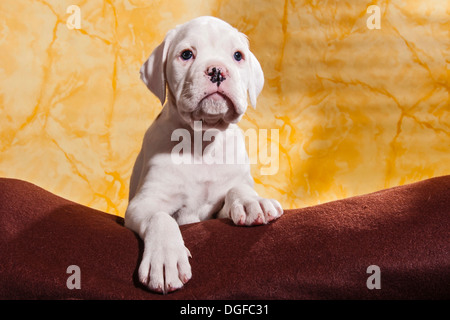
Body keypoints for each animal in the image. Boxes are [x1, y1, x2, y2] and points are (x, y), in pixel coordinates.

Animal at [125, 16, 284, 294]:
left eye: (238, 56)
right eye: (186, 54)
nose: (217, 70)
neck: (202, 141)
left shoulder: (217, 209)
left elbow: (237, 189)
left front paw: (253, 202)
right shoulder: (142, 203)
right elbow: (160, 217)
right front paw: (165, 258)